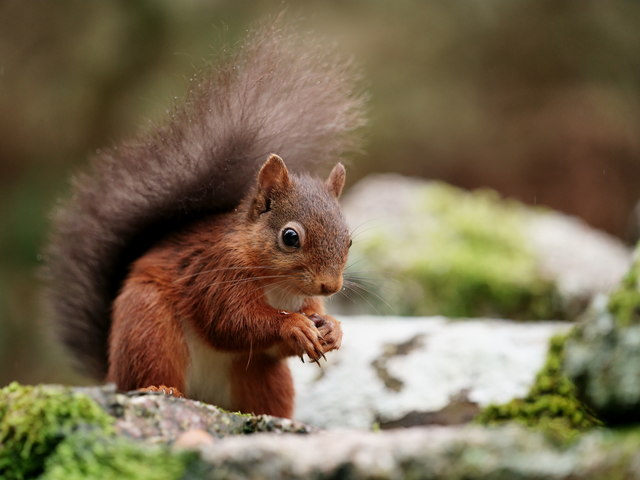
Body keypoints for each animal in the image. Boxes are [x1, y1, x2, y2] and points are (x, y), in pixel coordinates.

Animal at [43, 20, 364, 418]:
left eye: (349, 240)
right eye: (290, 237)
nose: (329, 286)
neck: (278, 287)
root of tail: (111, 372)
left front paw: (332, 328)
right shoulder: (215, 276)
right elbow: (231, 323)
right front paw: (292, 325)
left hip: (263, 376)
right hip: (148, 326)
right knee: (149, 372)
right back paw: (161, 389)